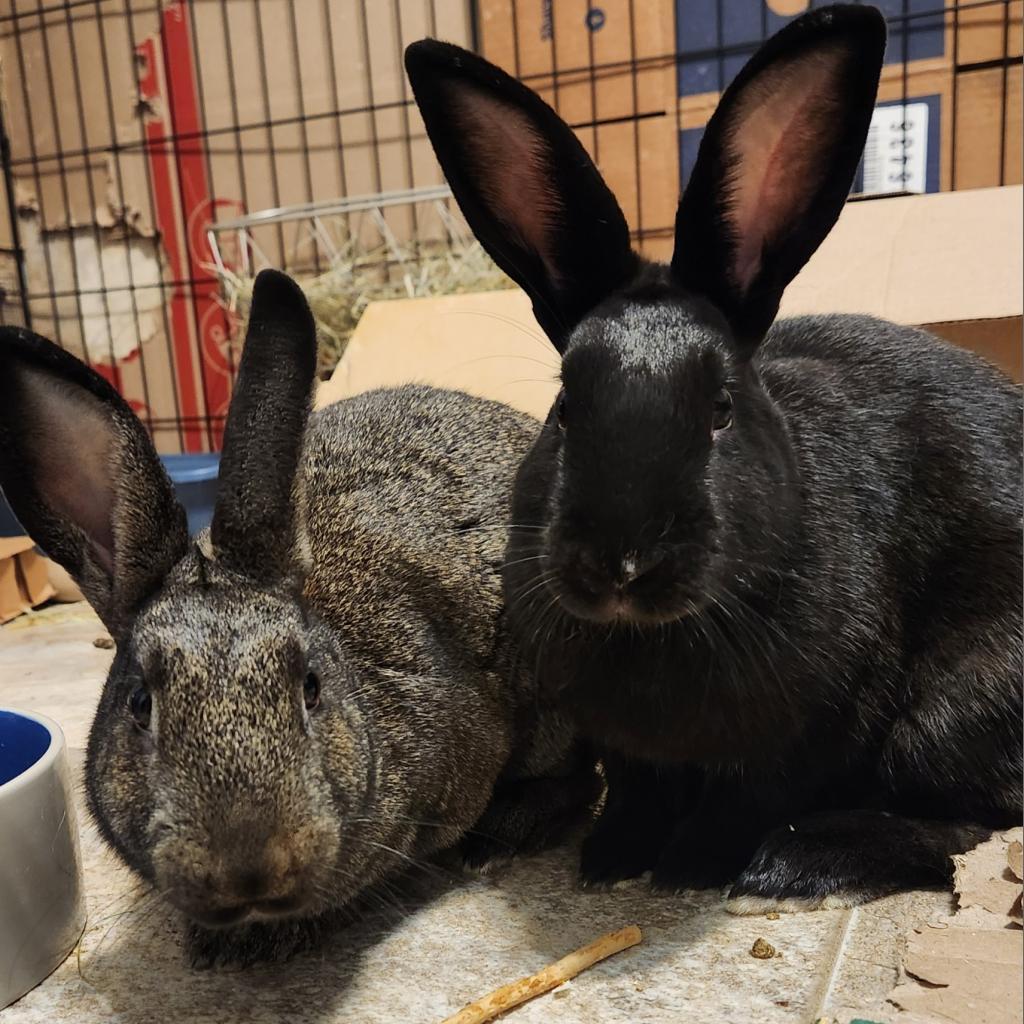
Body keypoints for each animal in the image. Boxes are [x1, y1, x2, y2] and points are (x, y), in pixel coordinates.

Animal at [405, 3, 1023, 913]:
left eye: (722, 409)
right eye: (564, 407)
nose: (621, 563)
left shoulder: (818, 726)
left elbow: (746, 799)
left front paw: (694, 867)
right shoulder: (622, 746)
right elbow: (636, 791)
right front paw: (612, 859)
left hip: (952, 712)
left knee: (972, 824)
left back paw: (801, 860)